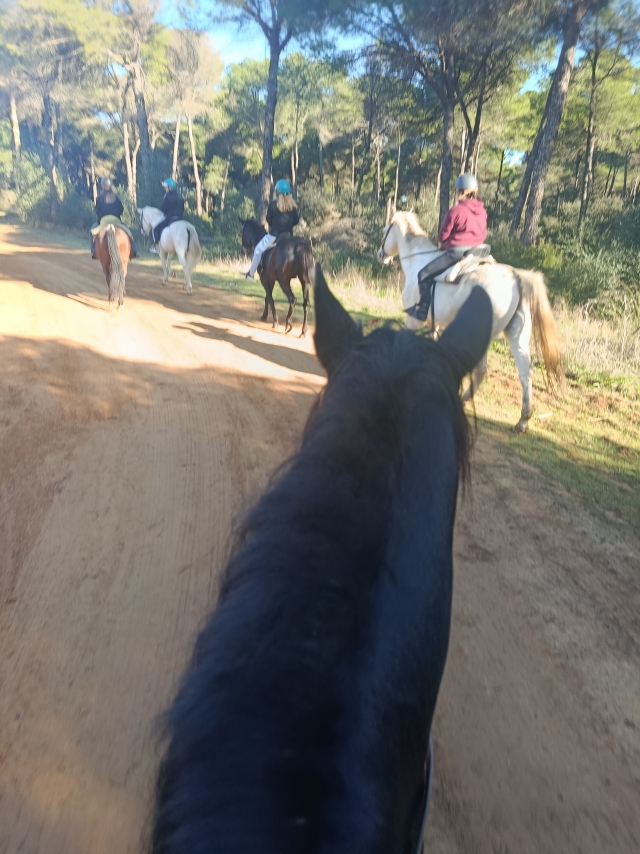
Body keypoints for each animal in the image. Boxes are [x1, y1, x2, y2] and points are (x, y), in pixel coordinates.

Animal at [377, 211, 562, 433]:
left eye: (385, 230)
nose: (380, 254)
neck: (418, 262)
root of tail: (516, 277)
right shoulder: (434, 323)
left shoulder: (414, 320)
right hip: (518, 337)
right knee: (526, 374)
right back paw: (522, 420)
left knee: (481, 370)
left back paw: (465, 398)